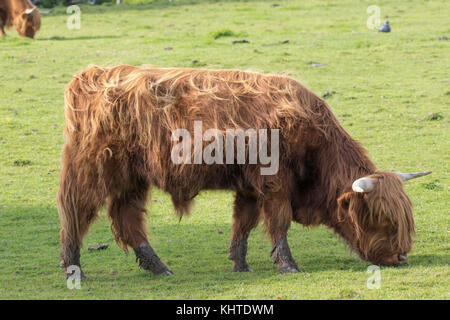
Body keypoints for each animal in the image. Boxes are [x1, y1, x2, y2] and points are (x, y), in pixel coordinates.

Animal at [58, 64, 430, 278]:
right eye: (382, 219)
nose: (401, 257)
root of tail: (92, 74)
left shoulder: (249, 186)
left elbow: (244, 223)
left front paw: (240, 264)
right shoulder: (275, 185)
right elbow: (278, 223)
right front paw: (288, 265)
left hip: (132, 179)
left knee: (126, 218)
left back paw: (159, 267)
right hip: (91, 169)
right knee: (75, 212)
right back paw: (74, 268)